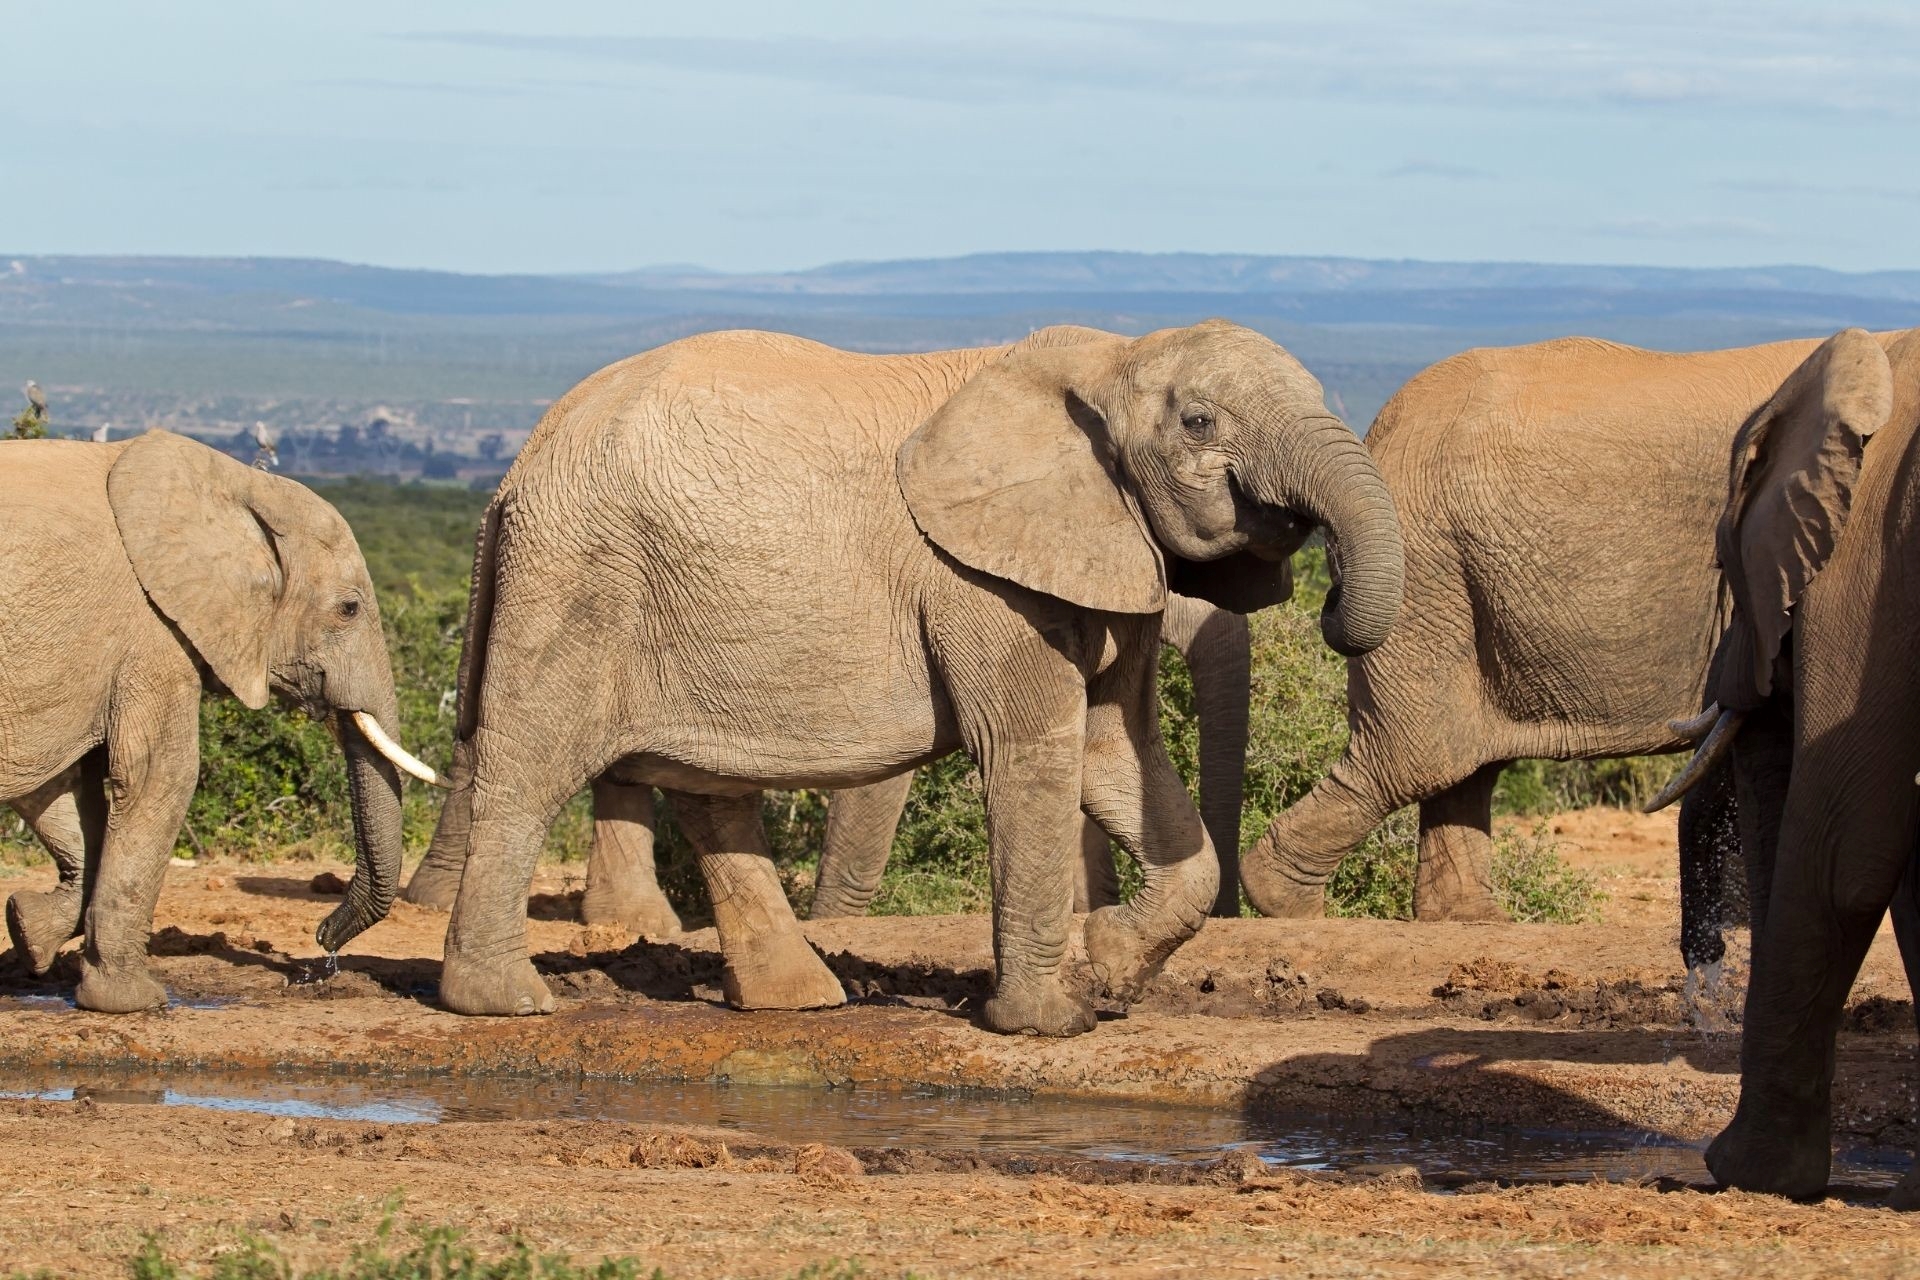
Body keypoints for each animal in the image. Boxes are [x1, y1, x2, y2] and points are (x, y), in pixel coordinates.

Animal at [0, 429, 432, 1013]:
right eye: (348, 609)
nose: (320, 944)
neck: (234, 484)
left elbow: (59, 785)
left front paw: (28, 931)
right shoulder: (152, 629)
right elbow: (161, 774)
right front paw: (134, 1001)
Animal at [424, 326, 1413, 1036]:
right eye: (1200, 423)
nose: (1329, 601)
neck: (1113, 355)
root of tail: (511, 474)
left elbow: (1115, 750)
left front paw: (1114, 971)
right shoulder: (980, 582)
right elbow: (1032, 752)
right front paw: (1053, 1022)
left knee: (709, 788)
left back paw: (801, 1000)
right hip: (581, 579)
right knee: (532, 767)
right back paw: (505, 1003)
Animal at [1236, 330, 1835, 932]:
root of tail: (1382, 426)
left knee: (1462, 762)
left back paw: (1470, 920)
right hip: (1427, 565)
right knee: (1419, 757)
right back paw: (1289, 905)